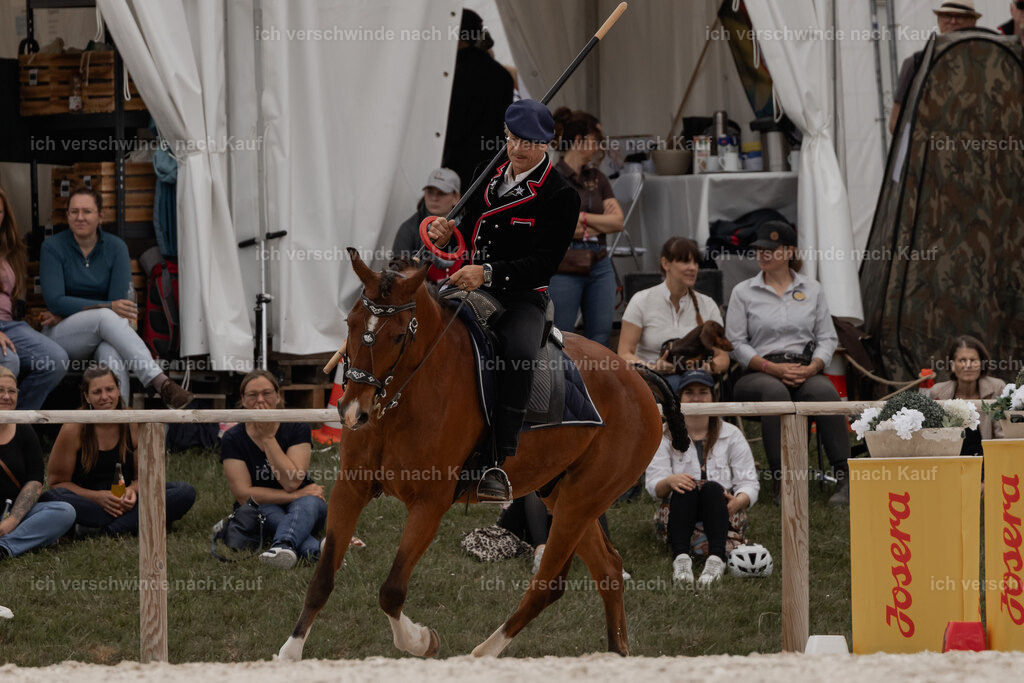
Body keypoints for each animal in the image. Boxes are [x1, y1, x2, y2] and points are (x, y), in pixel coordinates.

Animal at [277, 251, 688, 660]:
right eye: (350, 322)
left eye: (398, 335)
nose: (352, 412)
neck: (401, 402)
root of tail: (637, 377)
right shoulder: (351, 488)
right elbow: (322, 579)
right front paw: (290, 654)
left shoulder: (429, 504)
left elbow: (391, 591)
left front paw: (423, 640)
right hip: (563, 495)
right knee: (608, 570)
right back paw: (616, 652)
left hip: (581, 501)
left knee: (548, 585)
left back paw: (481, 654)